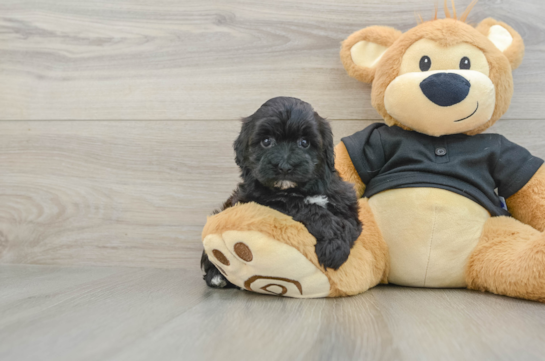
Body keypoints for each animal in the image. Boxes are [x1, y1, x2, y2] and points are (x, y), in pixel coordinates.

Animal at [201, 95, 362, 286]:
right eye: (266, 141)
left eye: (304, 142)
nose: (285, 166)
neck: (299, 189)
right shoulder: (259, 200)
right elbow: (299, 205)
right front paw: (329, 231)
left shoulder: (344, 200)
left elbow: (349, 223)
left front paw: (335, 247)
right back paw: (216, 275)